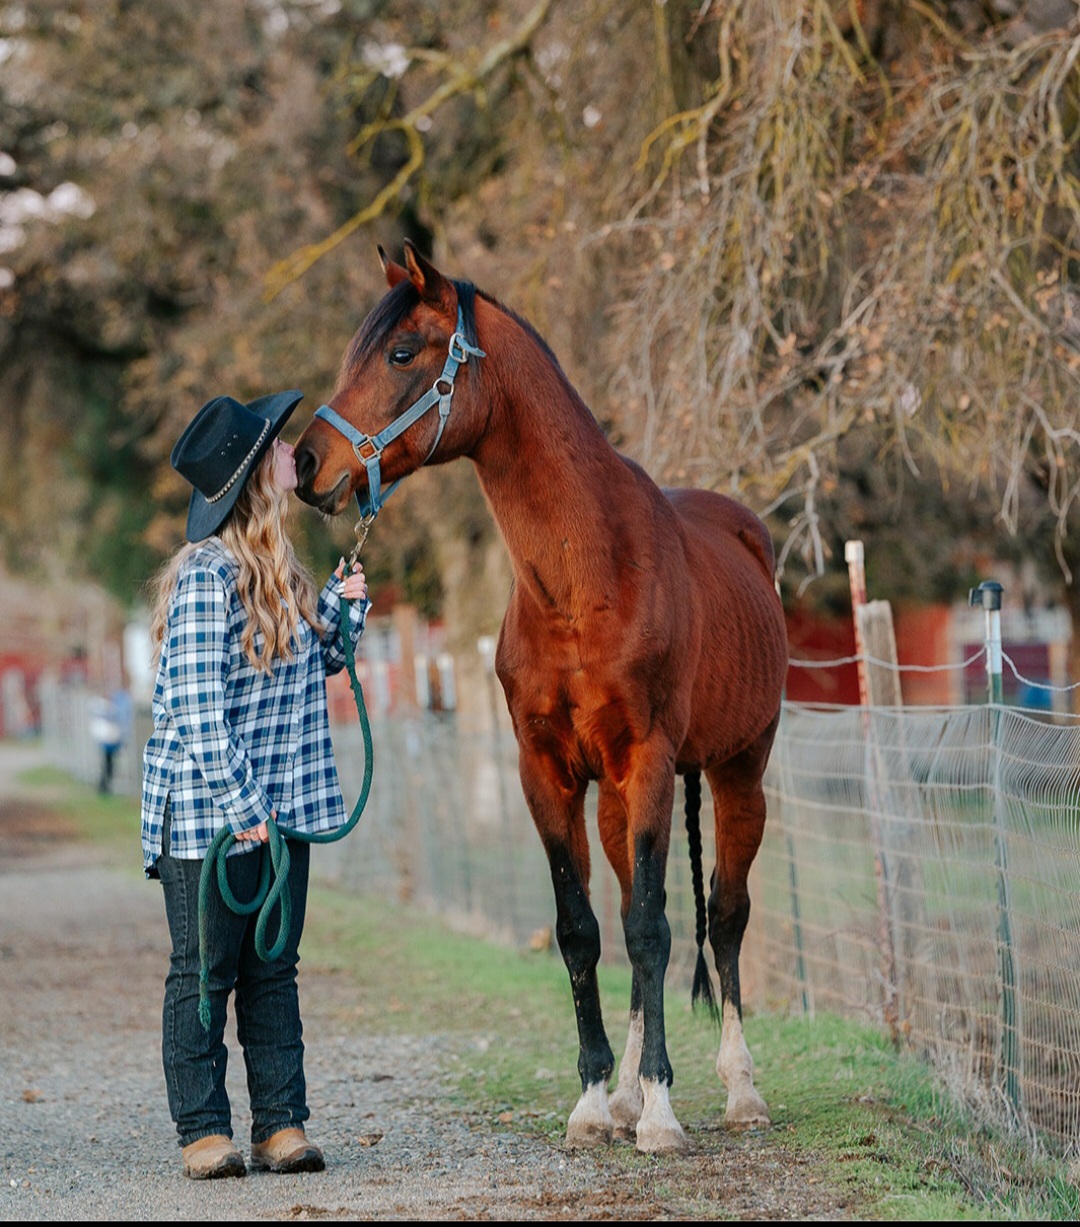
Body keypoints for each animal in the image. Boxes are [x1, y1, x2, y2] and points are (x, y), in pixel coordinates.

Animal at [293, 241, 785, 1148]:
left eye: (402, 353)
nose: (306, 464)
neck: (586, 577)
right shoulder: (547, 773)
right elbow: (583, 931)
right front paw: (596, 1101)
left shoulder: (649, 761)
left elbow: (657, 929)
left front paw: (661, 1110)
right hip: (617, 800)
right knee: (631, 911)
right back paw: (624, 1095)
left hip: (739, 772)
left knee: (724, 917)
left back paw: (739, 1091)